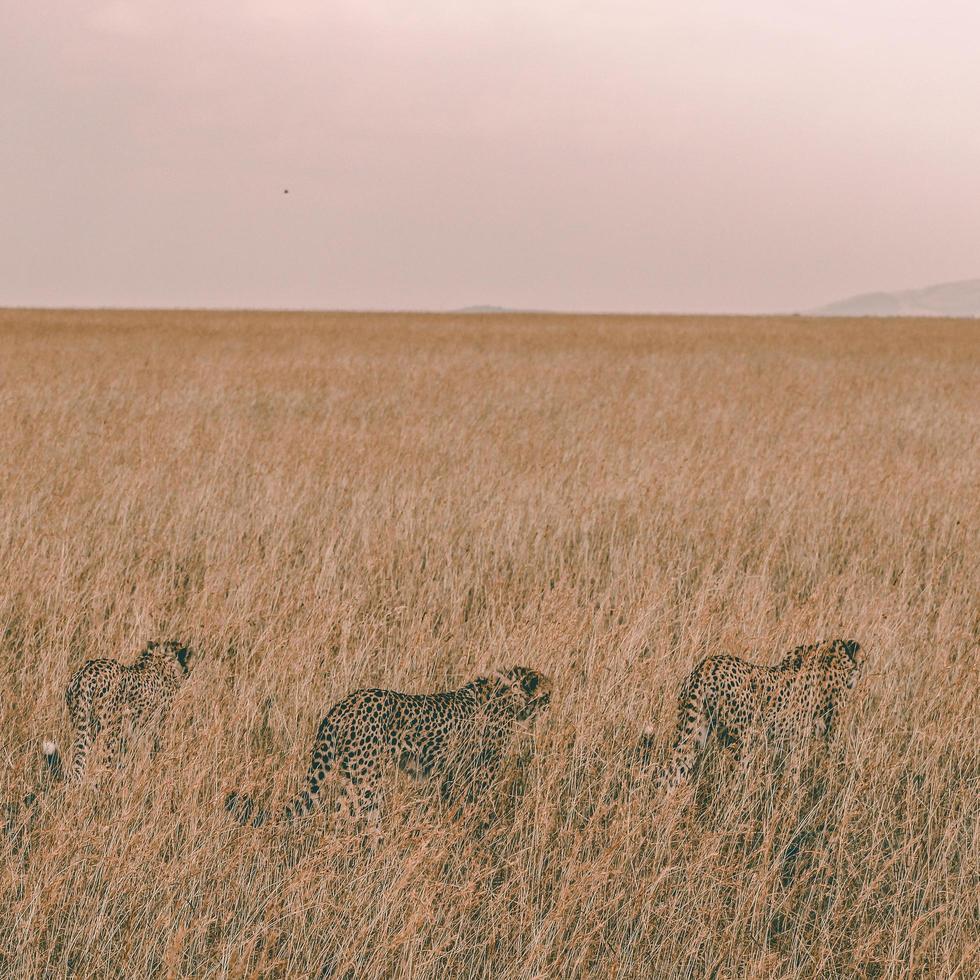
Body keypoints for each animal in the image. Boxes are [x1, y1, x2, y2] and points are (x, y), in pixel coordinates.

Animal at [44, 640, 193, 784]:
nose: (188, 672)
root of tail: (84, 675)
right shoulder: (156, 723)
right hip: (110, 730)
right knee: (102, 763)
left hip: (84, 723)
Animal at [226, 668, 556, 828]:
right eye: (547, 692)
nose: (552, 703)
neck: (509, 693)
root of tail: (344, 704)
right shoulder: (479, 775)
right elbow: (476, 810)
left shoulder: (452, 775)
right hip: (367, 782)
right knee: (358, 820)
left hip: (350, 777)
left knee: (339, 816)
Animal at [660, 636, 864, 788]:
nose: (862, 669)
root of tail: (708, 665)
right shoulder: (822, 732)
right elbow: (819, 762)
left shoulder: (794, 737)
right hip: (742, 741)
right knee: (732, 780)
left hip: (693, 730)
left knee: (671, 770)